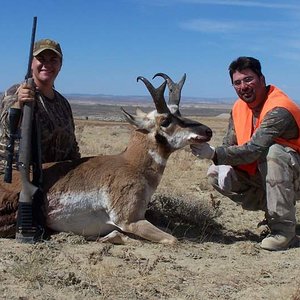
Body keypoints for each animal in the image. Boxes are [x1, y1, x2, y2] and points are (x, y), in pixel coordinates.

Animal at [0, 74, 212, 245]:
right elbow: (172, 239)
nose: (207, 131)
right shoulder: (130, 221)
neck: (131, 164)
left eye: (180, 113)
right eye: (166, 121)